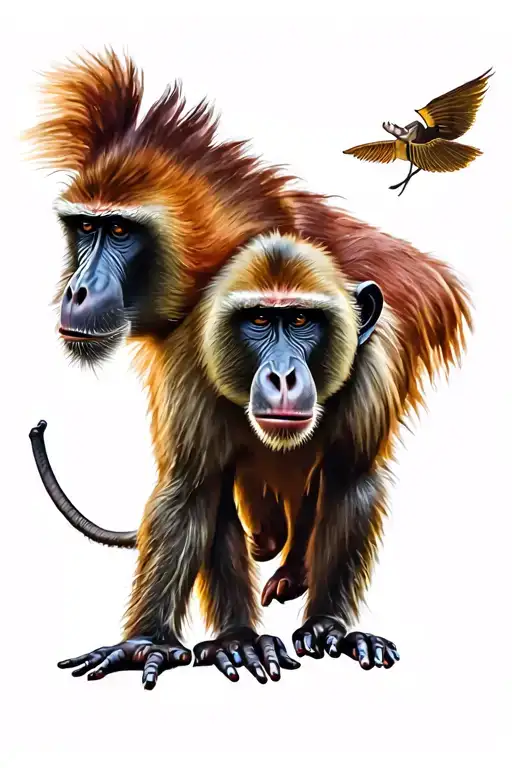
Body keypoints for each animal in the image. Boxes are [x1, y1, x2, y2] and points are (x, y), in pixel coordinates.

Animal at [26, 50, 472, 686]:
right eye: (86, 228)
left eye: (119, 229)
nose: (78, 288)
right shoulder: (191, 355)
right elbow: (192, 489)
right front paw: (147, 641)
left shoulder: (374, 355)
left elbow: (351, 478)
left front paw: (330, 625)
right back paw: (240, 637)